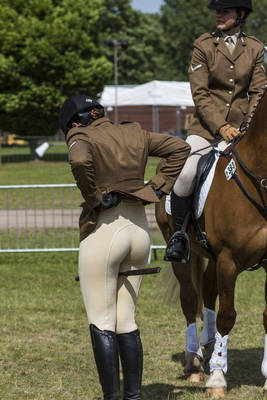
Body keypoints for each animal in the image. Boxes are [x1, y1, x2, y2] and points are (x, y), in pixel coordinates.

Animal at [156, 89, 266, 398]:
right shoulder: (229, 260)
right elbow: (227, 315)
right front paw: (217, 378)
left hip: (213, 258)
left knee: (206, 291)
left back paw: (208, 344)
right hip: (184, 253)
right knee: (189, 299)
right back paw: (194, 362)